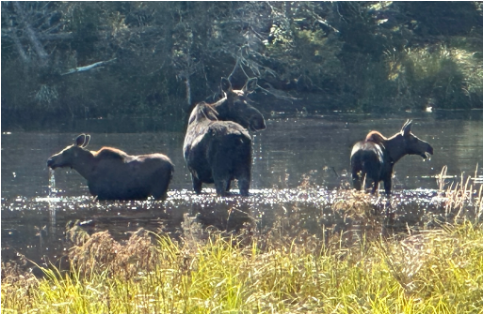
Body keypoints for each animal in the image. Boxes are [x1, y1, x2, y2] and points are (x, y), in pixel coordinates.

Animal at [46, 134, 174, 200]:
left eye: (65, 151)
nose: (50, 160)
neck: (87, 170)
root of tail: (171, 166)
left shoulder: (100, 194)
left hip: (158, 190)